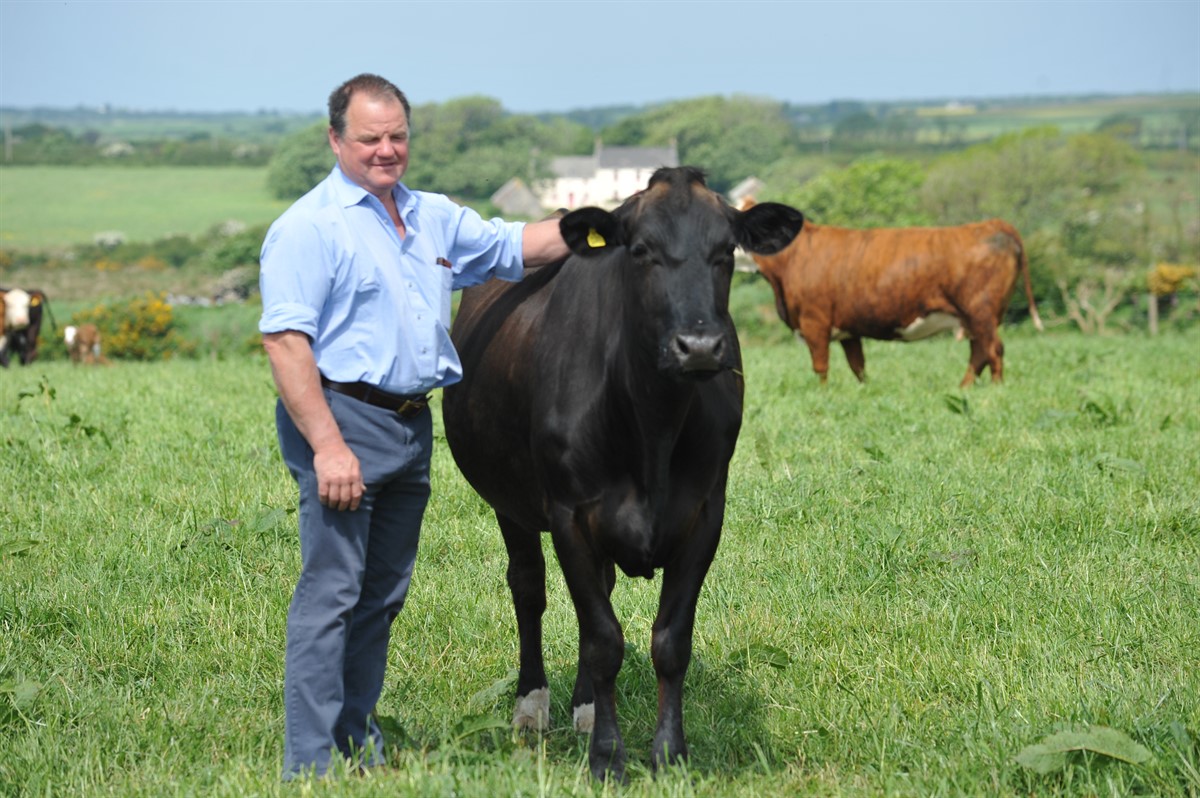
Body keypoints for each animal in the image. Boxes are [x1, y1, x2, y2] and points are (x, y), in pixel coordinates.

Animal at [442, 167, 805, 781]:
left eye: (725, 251)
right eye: (641, 251)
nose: (699, 346)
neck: (652, 426)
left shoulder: (704, 514)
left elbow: (669, 642)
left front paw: (669, 753)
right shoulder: (569, 514)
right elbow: (602, 641)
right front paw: (608, 758)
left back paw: (586, 708)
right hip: (511, 502)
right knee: (529, 589)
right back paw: (532, 705)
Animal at [740, 199, 1043, 387]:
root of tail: (993, 224)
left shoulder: (814, 322)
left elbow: (820, 365)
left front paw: (822, 393)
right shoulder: (848, 330)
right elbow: (857, 365)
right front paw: (863, 390)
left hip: (981, 310)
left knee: (993, 349)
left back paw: (995, 387)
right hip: (977, 317)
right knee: (980, 351)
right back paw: (964, 387)